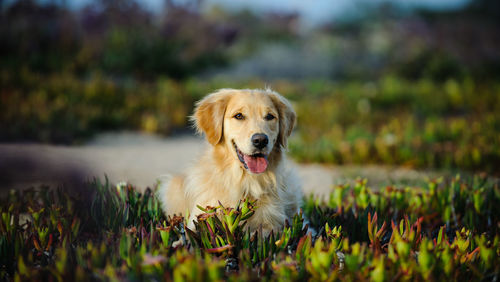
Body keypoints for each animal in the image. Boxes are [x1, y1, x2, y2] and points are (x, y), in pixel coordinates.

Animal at [158, 88, 302, 234]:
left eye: (270, 116)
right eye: (239, 116)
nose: (261, 140)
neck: (245, 182)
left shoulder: (273, 225)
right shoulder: (199, 220)